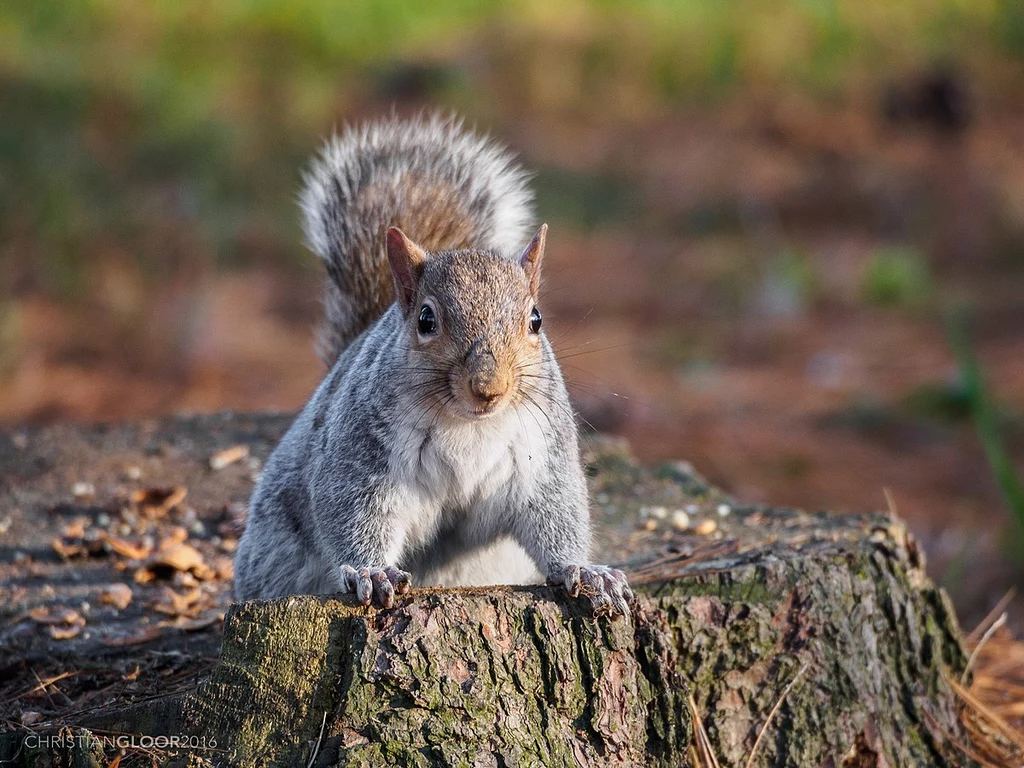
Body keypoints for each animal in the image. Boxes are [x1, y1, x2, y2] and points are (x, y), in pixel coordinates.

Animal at [234, 115, 630, 618]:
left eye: (536, 320)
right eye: (426, 320)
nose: (489, 387)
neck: (469, 426)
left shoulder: (540, 459)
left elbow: (556, 515)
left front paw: (586, 571)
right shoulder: (360, 458)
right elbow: (352, 510)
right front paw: (373, 572)